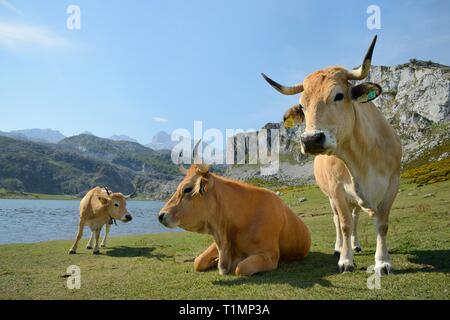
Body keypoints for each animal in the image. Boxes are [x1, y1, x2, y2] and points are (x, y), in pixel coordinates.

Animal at [157, 144, 310, 276]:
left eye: (187, 189)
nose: (161, 215)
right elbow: (198, 261)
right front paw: (215, 261)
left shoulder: (270, 255)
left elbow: (240, 268)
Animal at [262, 35, 402, 276]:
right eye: (302, 106)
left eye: (339, 95)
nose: (311, 139)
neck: (362, 158)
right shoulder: (337, 190)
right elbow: (344, 224)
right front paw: (346, 260)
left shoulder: (392, 184)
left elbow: (382, 224)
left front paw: (383, 262)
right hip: (331, 195)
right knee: (339, 219)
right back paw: (340, 247)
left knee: (355, 216)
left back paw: (356, 244)